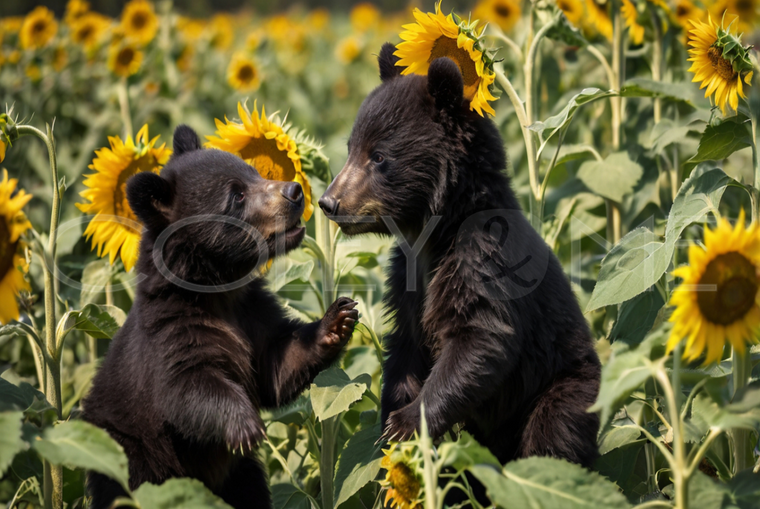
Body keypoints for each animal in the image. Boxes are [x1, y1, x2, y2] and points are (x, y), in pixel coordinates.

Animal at [82, 125, 359, 509]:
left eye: (255, 172)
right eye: (237, 195)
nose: (294, 192)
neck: (219, 290)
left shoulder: (253, 314)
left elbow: (278, 364)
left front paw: (338, 318)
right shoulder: (172, 329)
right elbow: (188, 385)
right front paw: (246, 426)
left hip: (239, 476)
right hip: (132, 458)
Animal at [318, 44, 601, 470]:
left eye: (379, 156)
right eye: (351, 147)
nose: (329, 202)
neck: (436, 232)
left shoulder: (485, 260)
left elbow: (479, 339)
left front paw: (405, 423)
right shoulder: (406, 278)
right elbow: (405, 345)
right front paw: (390, 421)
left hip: (561, 388)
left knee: (553, 437)